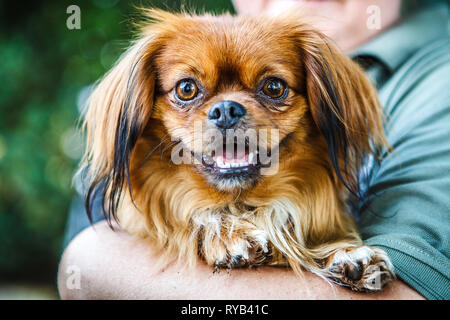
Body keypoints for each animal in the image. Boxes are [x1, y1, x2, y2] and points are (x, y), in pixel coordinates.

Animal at [80, 10, 394, 292]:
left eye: (274, 86)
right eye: (186, 88)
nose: (226, 109)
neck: (243, 204)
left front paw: (346, 252)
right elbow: (191, 218)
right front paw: (228, 233)